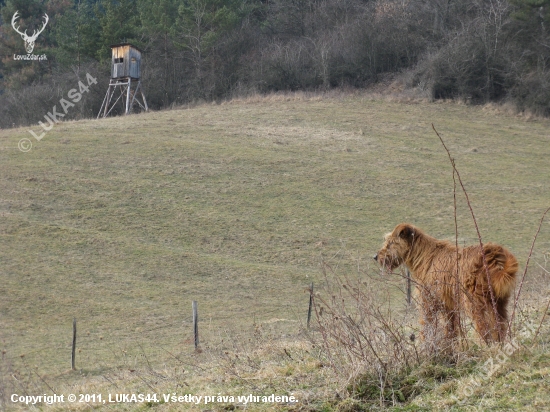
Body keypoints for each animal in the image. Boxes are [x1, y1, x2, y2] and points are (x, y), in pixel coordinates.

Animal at [376, 224, 516, 342]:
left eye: (390, 243)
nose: (375, 257)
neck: (423, 255)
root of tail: (493, 254)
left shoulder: (428, 303)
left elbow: (426, 328)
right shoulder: (448, 307)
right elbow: (450, 330)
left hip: (475, 304)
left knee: (484, 329)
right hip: (498, 303)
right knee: (499, 328)